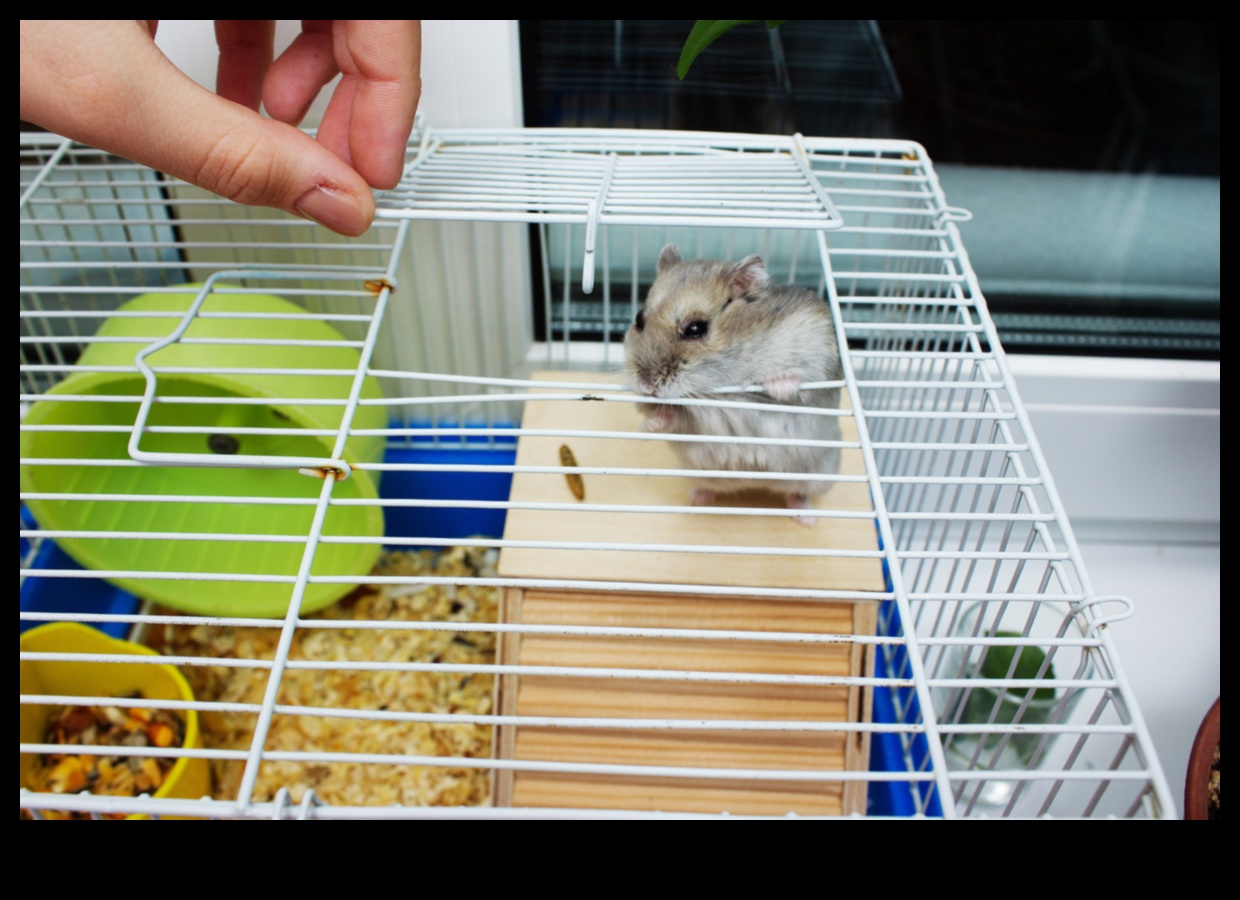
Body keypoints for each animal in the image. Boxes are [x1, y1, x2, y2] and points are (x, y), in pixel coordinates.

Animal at [623, 243, 843, 525]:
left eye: (695, 328)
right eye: (639, 319)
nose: (647, 384)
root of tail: (756, 483)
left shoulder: (817, 345)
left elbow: (800, 380)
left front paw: (780, 386)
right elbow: (669, 417)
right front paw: (645, 428)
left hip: (819, 473)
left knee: (797, 493)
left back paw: (806, 518)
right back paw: (697, 500)